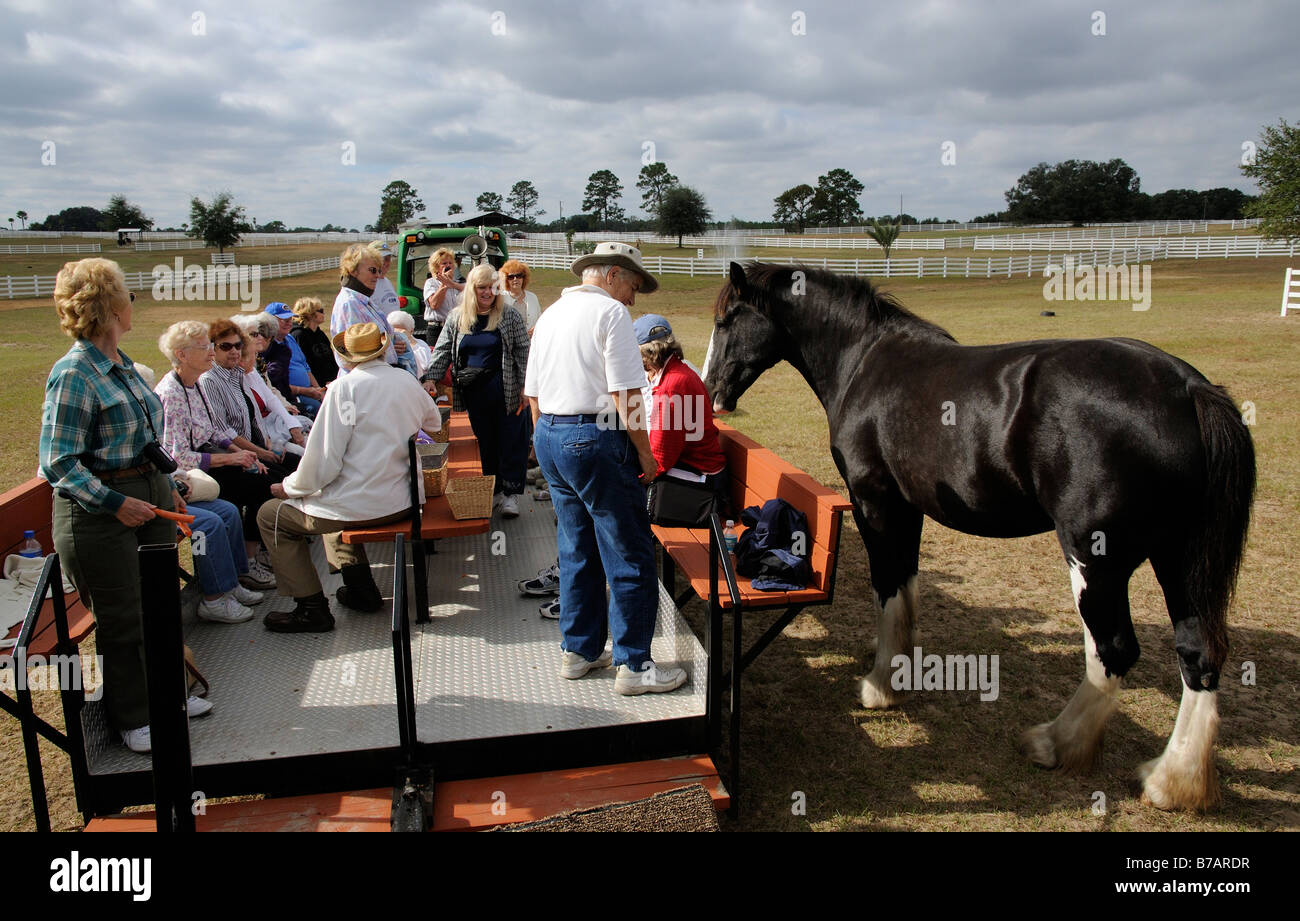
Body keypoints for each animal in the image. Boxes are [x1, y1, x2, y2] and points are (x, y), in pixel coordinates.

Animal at [707, 262, 1253, 811]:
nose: (711, 393)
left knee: (1113, 650)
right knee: (1198, 654)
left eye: (728, 318)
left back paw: (1057, 743)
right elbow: (905, 585)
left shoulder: (874, 503)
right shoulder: (908, 508)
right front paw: (899, 664)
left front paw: (881, 685)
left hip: (1094, 561)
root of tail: (1188, 389)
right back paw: (1171, 780)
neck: (865, 360)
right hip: (1177, 560)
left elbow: (887, 584)